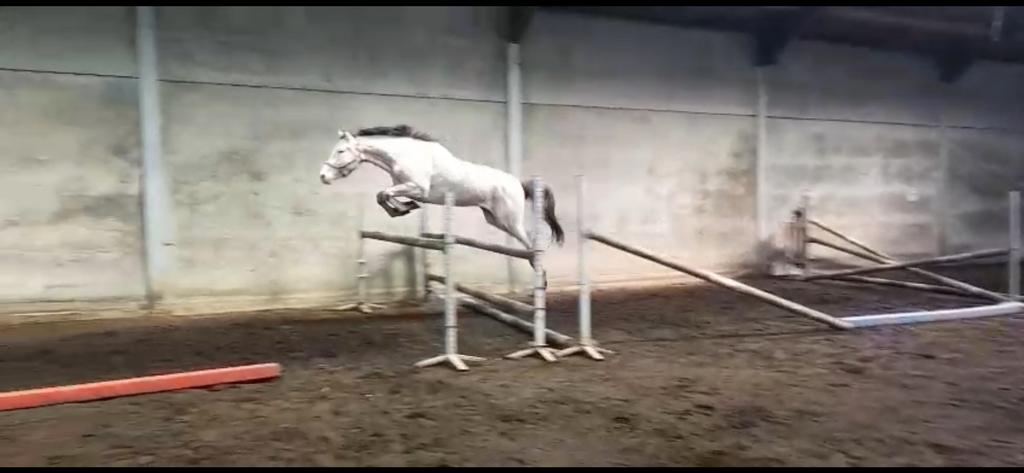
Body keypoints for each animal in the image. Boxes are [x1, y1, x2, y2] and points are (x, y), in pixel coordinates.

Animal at [318, 125, 564, 284]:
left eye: (340, 151)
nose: (323, 177)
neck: (404, 155)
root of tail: (518, 183)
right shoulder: (406, 187)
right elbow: (383, 196)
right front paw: (404, 209)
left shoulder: (418, 188)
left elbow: (383, 194)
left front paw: (403, 208)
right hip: (495, 219)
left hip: (509, 220)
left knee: (531, 240)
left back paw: (539, 274)